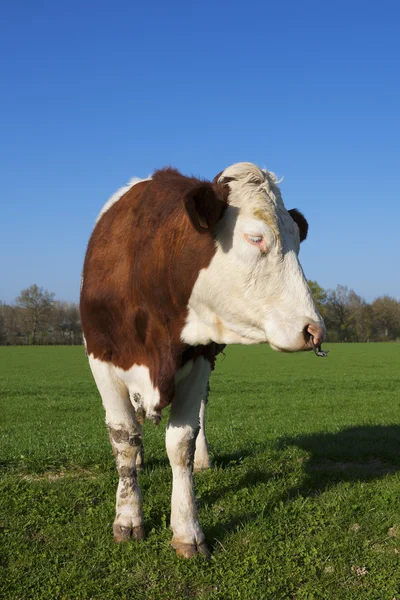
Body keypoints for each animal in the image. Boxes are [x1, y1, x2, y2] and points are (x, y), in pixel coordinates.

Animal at [80, 161, 324, 556]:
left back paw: (204, 459)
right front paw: (128, 517)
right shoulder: (100, 357)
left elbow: (181, 442)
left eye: (297, 242)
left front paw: (187, 530)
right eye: (255, 238)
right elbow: (124, 437)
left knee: (201, 413)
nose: (314, 330)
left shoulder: (198, 360)